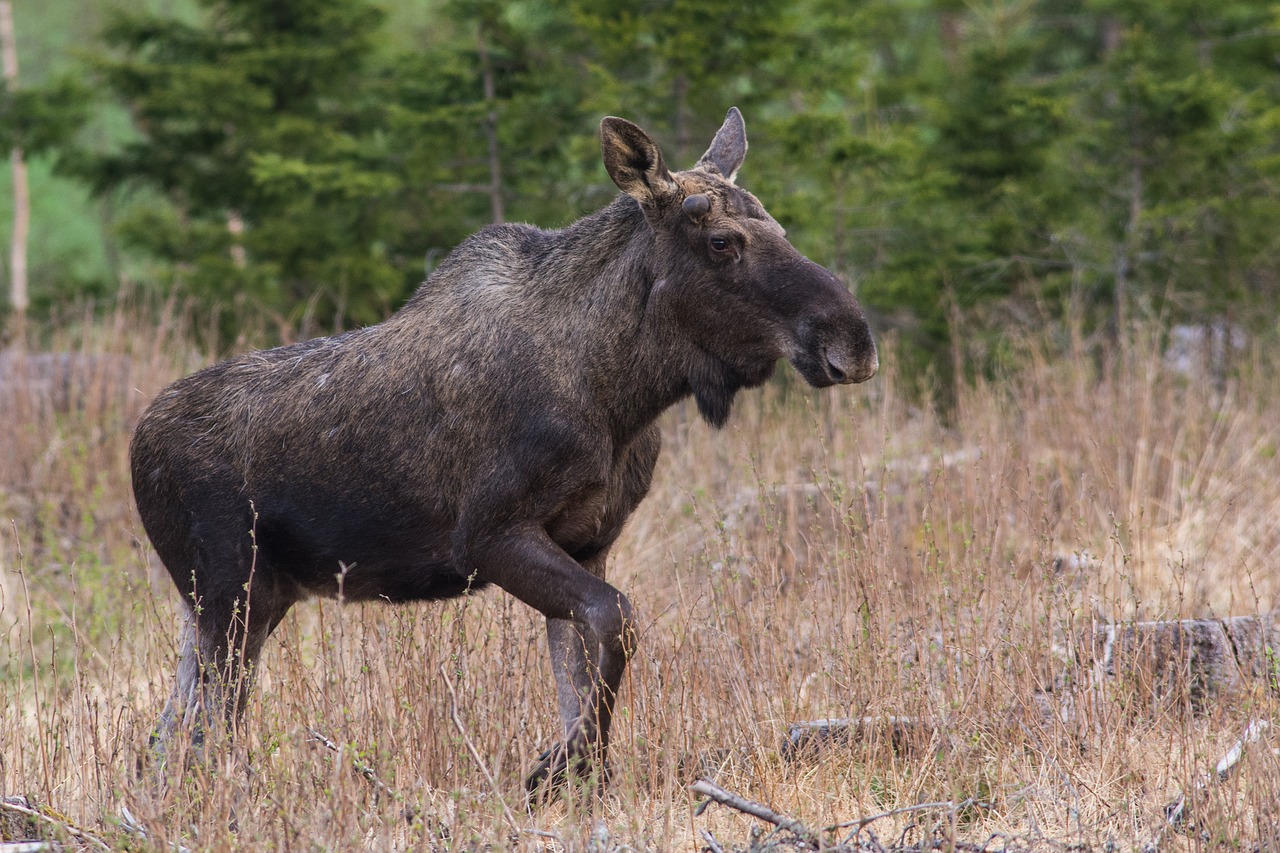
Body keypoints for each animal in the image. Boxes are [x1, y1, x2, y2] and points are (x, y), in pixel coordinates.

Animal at [135, 108, 880, 799]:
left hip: (240, 600)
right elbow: (616, 619)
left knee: (168, 734)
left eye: (780, 229)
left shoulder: (588, 541)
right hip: (229, 591)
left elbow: (582, 663)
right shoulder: (489, 535)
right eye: (723, 242)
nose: (853, 339)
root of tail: (137, 446)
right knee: (208, 730)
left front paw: (580, 776)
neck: (621, 391)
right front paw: (556, 767)